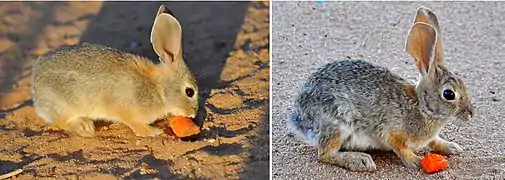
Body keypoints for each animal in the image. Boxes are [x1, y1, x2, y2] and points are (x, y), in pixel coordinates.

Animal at [30, 5, 199, 138]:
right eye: (189, 91)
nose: (193, 113)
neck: (158, 89)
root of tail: (36, 90)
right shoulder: (129, 111)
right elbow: (137, 125)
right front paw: (154, 131)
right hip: (66, 106)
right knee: (61, 121)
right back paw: (85, 126)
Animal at [288, 5, 472, 172]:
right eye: (449, 94)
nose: (470, 114)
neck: (422, 107)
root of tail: (300, 119)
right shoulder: (392, 132)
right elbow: (401, 149)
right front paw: (417, 161)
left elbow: (434, 141)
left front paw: (452, 147)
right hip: (337, 124)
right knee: (325, 154)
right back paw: (360, 161)